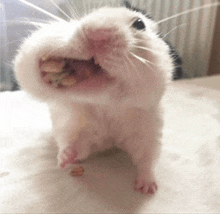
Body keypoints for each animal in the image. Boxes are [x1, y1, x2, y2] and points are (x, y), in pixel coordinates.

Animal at [14, 5, 174, 195]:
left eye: (139, 24)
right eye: (86, 16)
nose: (96, 34)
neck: (106, 105)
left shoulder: (147, 130)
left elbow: (147, 159)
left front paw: (147, 189)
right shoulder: (78, 129)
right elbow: (76, 146)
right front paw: (64, 160)